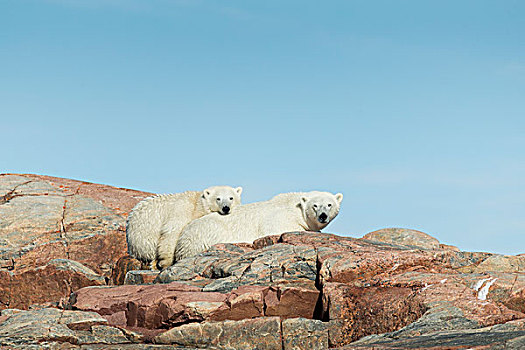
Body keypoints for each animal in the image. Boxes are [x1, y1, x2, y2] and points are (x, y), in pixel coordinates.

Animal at [174, 190, 342, 262]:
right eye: (315, 205)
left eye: (329, 204)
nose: (322, 216)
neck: (295, 206)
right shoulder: (278, 218)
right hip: (207, 233)